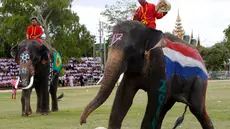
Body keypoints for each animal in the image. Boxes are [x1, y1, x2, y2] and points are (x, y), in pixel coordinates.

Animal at [79, 20, 214, 128]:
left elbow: (154, 101)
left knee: (197, 109)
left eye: (131, 49)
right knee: (164, 108)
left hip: (200, 80)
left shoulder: (161, 66)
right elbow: (123, 99)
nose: (83, 121)